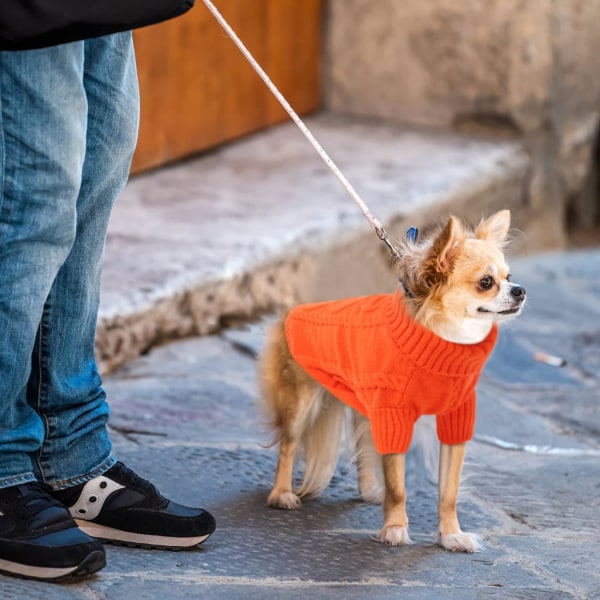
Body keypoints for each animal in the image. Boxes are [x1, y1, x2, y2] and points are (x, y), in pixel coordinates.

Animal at [258, 210, 524, 552]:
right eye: (486, 283)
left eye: (509, 276)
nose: (520, 290)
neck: (445, 338)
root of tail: (291, 308)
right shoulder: (393, 418)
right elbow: (398, 486)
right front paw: (395, 528)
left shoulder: (455, 422)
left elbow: (448, 491)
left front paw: (451, 535)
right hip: (301, 403)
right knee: (289, 444)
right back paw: (281, 494)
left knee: (362, 444)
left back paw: (370, 489)